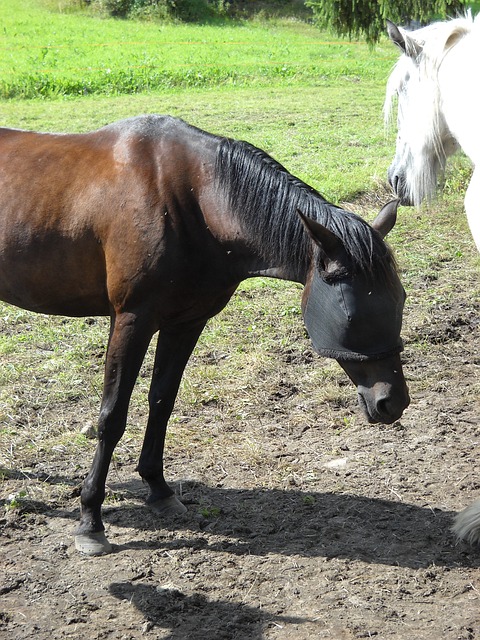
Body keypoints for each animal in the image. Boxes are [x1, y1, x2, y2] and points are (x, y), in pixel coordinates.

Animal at [0, 116, 408, 556]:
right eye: (350, 312)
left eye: (401, 298)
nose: (392, 403)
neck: (190, 200)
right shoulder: (130, 321)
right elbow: (112, 417)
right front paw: (90, 519)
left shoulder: (186, 322)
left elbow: (162, 402)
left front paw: (159, 490)